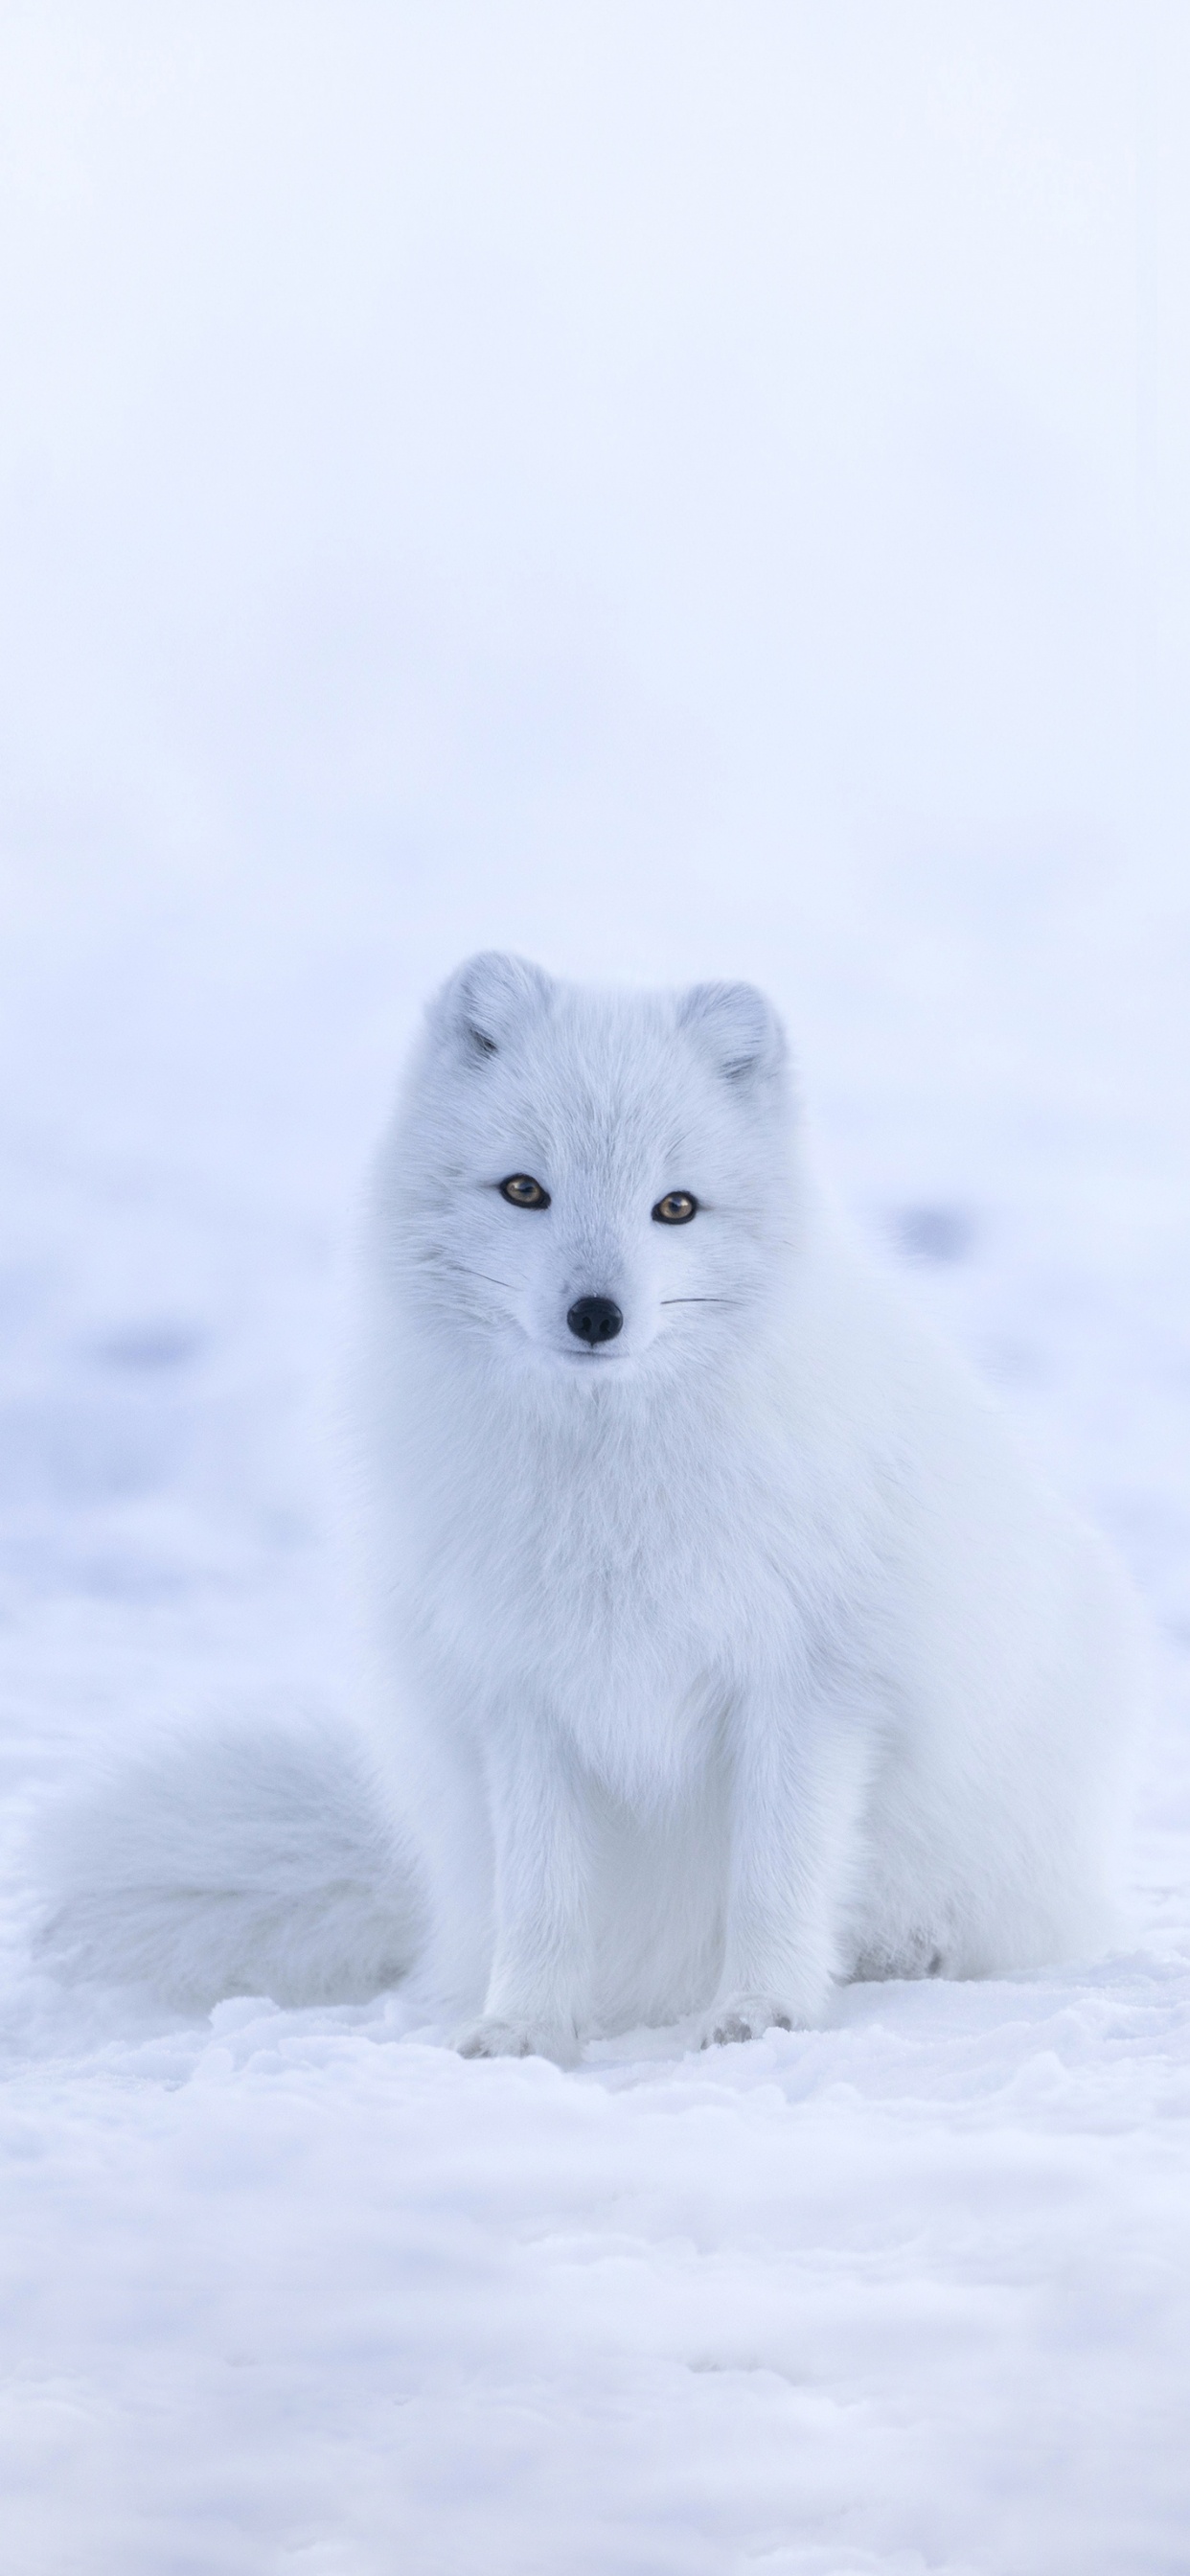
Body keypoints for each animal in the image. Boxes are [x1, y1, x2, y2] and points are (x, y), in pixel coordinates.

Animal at [36, 953, 1141, 2057]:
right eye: (525, 1189)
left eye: (677, 1207)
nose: (597, 1315)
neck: (609, 1485)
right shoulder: (523, 1695)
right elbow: (543, 1898)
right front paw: (523, 2028)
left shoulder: (809, 1685)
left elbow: (775, 1877)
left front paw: (761, 2011)